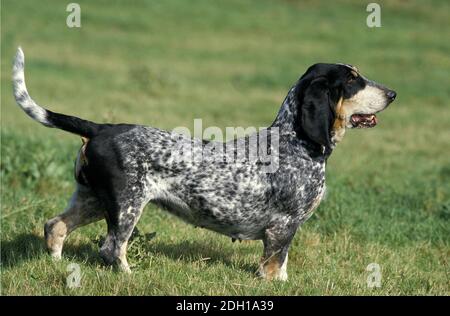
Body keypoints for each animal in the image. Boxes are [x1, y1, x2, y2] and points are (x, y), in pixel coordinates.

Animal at [12, 47, 396, 278]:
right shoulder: (283, 228)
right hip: (126, 206)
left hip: (92, 199)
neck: (295, 140)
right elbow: (273, 268)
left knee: (55, 226)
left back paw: (57, 264)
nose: (393, 94)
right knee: (111, 248)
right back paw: (130, 277)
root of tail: (100, 128)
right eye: (353, 79)